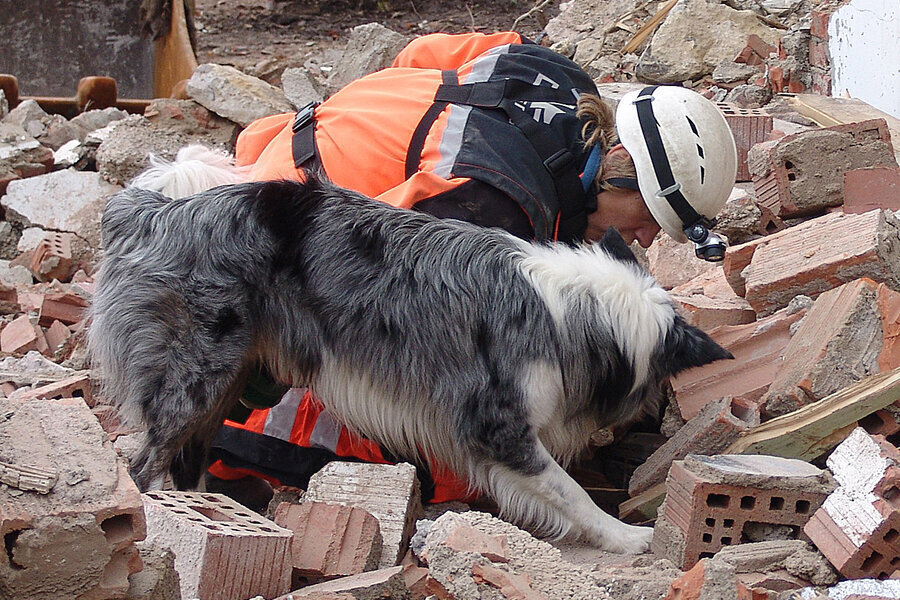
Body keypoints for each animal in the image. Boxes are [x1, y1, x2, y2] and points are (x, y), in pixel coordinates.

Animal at [88, 170, 732, 552]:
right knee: (144, 467)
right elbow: (568, 491)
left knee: (185, 462)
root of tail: (149, 213)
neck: (578, 312)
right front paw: (624, 536)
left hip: (224, 382)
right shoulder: (495, 427)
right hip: (195, 380)